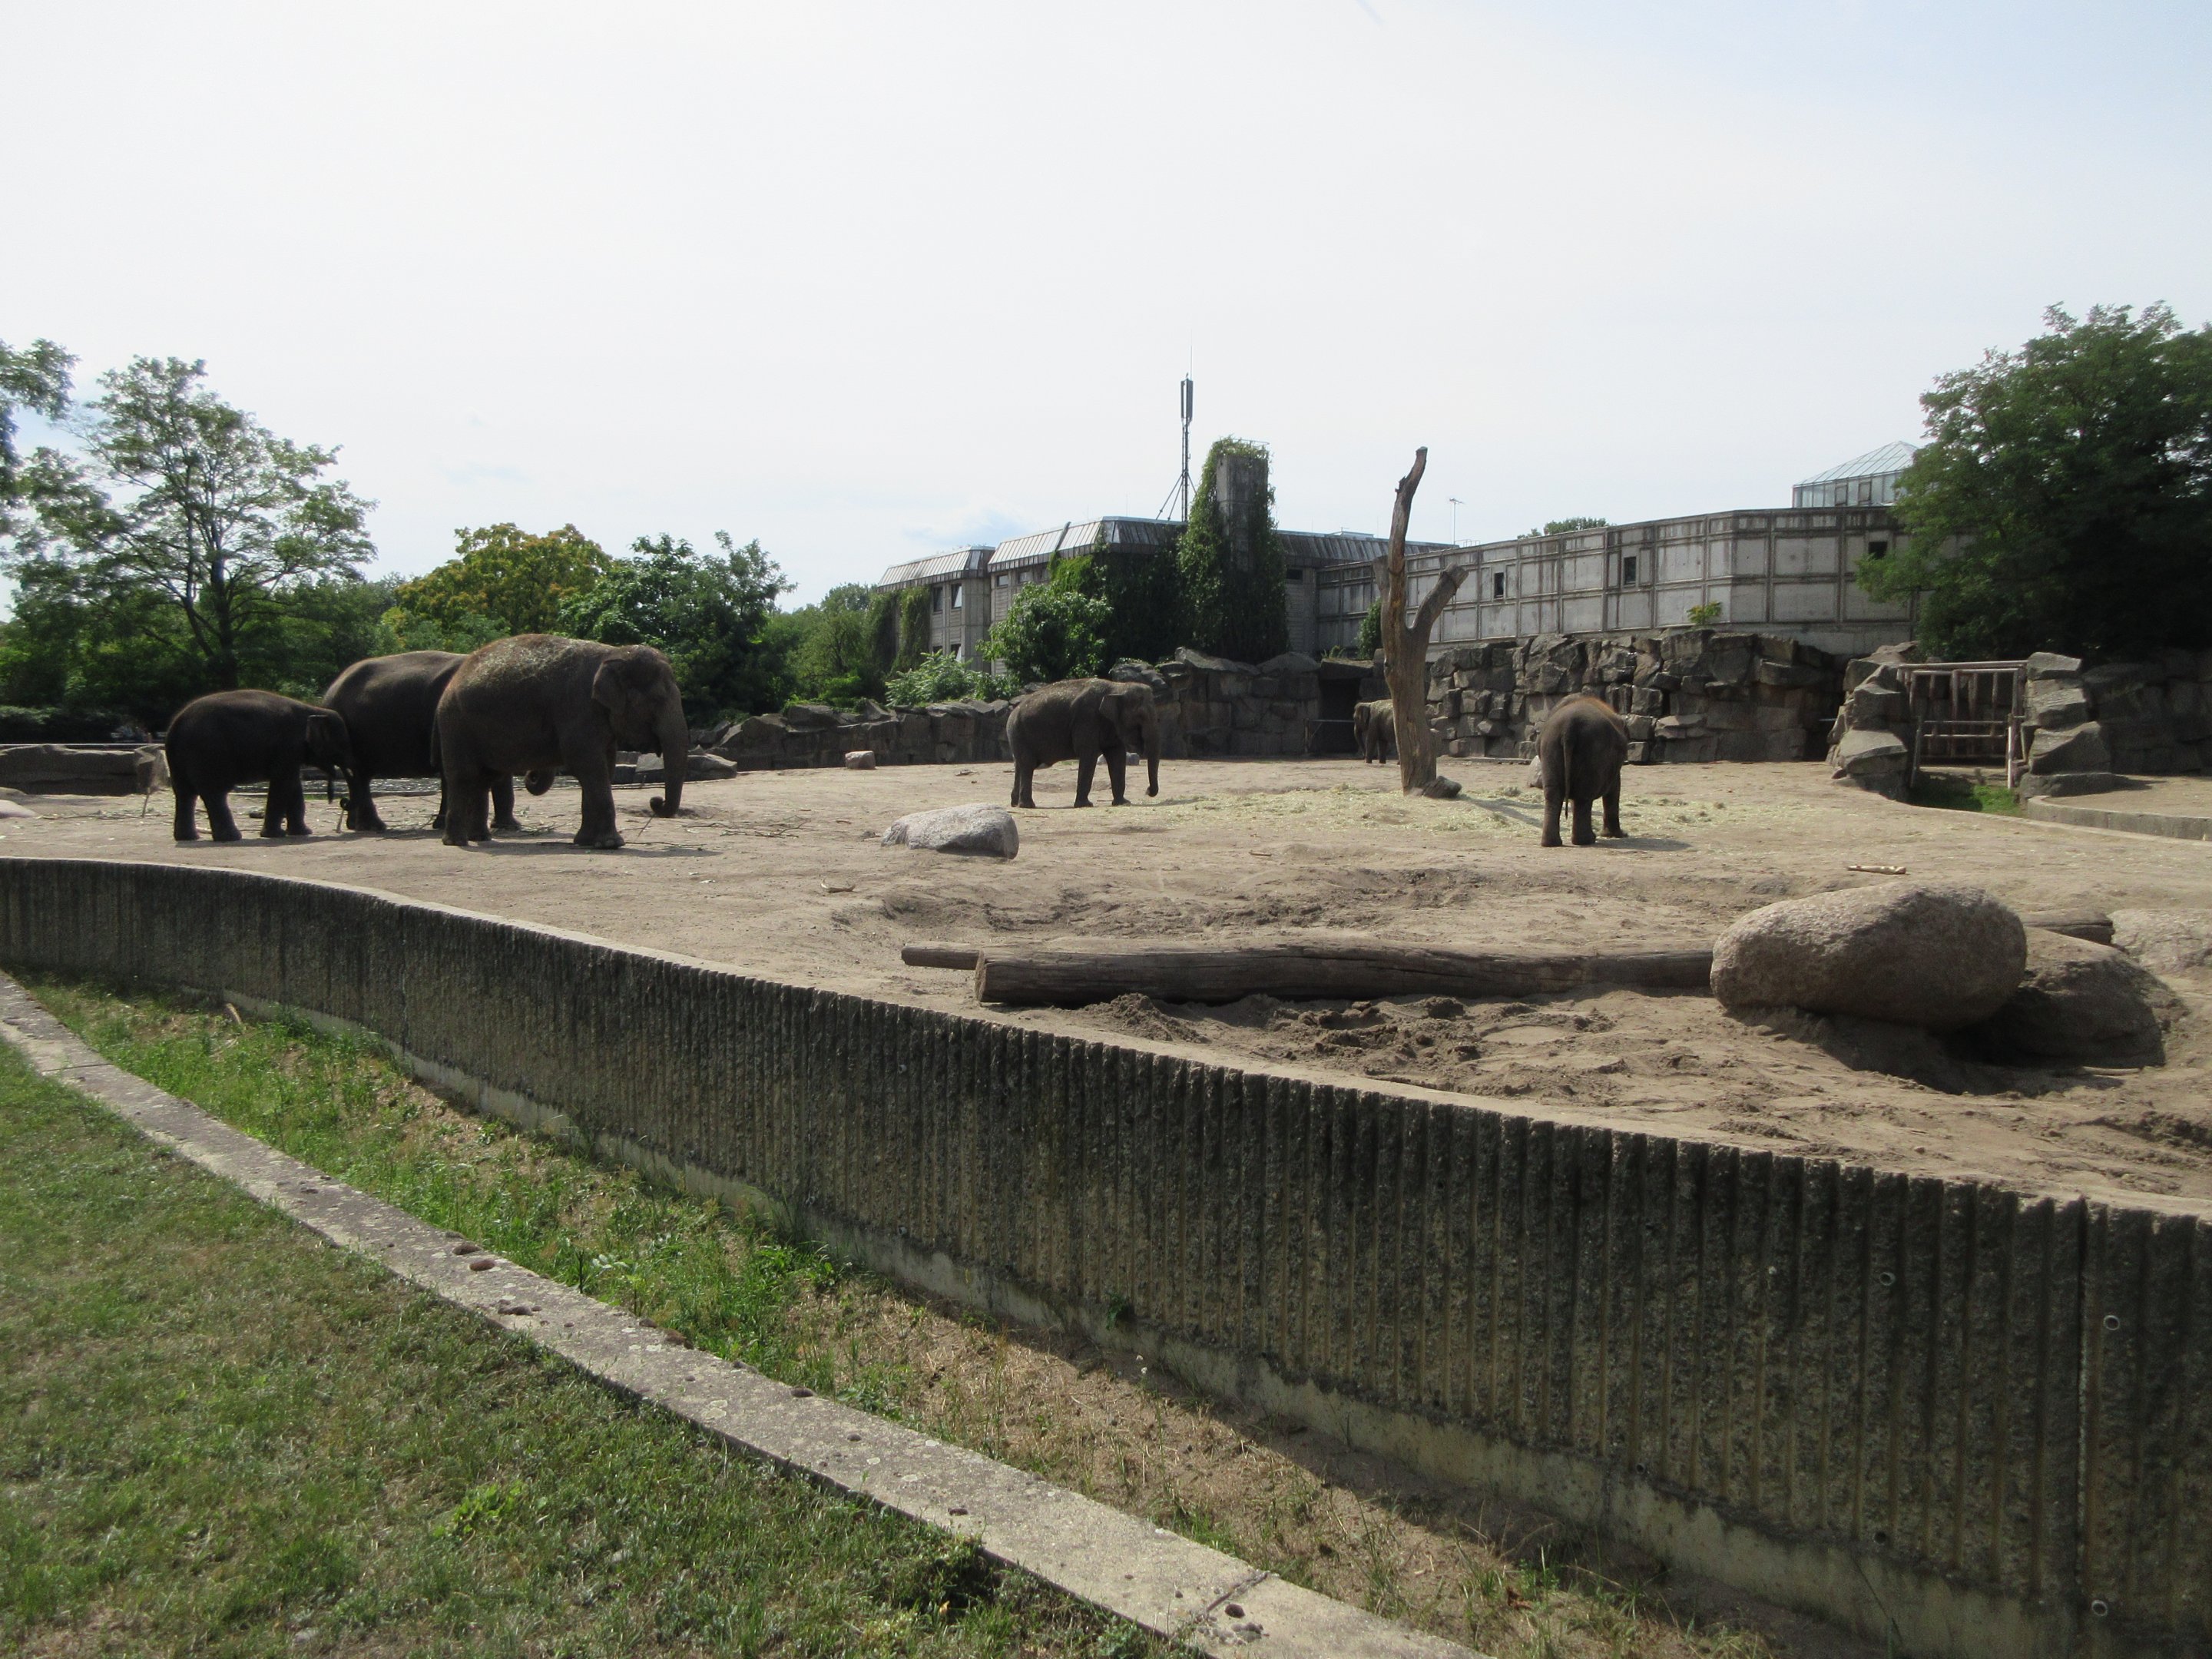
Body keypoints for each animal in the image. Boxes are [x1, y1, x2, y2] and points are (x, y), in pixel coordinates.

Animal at [165, 689, 354, 843]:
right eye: (342, 745)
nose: (343, 801)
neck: (313, 709)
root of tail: (175, 725)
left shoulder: (290, 753)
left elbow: (293, 784)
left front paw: (303, 833)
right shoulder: (287, 746)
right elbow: (284, 783)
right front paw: (275, 835)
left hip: (179, 760)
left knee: (184, 793)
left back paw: (188, 838)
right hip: (208, 753)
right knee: (215, 793)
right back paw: (232, 838)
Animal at [323, 650, 553, 833]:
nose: (531, 776)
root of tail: (330, 690)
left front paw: (510, 827)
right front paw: (443, 826)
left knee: (358, 777)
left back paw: (356, 825)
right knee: (359, 775)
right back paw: (374, 827)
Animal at [435, 634, 687, 849]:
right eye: (657, 699)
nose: (655, 801)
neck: (612, 653)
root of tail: (456, 677)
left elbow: (604, 767)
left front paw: (586, 842)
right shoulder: (577, 708)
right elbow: (588, 765)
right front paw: (612, 845)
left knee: (483, 779)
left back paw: (480, 838)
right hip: (455, 725)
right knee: (463, 776)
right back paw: (457, 842)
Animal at [1005, 677, 1161, 809]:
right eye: (1140, 716)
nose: (1147, 791)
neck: (1117, 687)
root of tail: (1012, 713)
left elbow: (1117, 756)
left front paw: (1123, 803)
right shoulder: (1087, 718)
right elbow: (1089, 755)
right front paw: (1085, 805)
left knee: (1020, 765)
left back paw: (1015, 804)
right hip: (1019, 734)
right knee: (1028, 765)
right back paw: (1028, 806)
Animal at [1536, 695, 1630, 847]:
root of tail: (1569, 728)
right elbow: (1614, 788)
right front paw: (1618, 835)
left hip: (1549, 746)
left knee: (1553, 793)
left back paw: (1551, 843)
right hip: (1593, 751)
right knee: (1584, 796)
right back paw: (1586, 840)